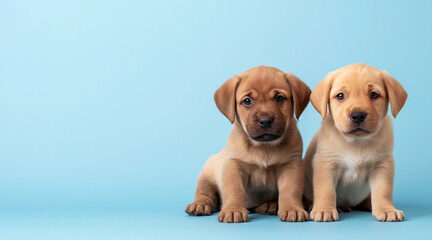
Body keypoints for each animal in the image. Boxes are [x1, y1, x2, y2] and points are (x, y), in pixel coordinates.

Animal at [185, 66, 310, 223]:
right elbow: (235, 190)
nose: (265, 120)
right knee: (205, 194)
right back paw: (199, 205)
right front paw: (233, 210)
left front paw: (292, 208)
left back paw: (269, 205)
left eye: (280, 98)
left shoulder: (291, 166)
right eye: (247, 101)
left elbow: (291, 190)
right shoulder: (234, 165)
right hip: (206, 176)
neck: (264, 147)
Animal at [304, 63, 408, 221]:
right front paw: (324, 209)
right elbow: (326, 190)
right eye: (340, 96)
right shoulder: (326, 163)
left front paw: (386, 209)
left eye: (374, 95)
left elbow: (383, 190)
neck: (356, 142)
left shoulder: (383, 165)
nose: (358, 115)